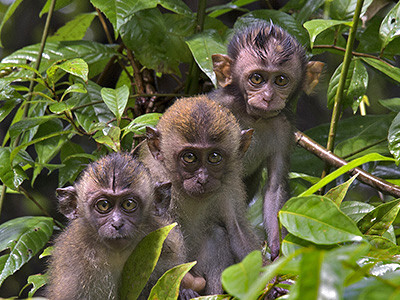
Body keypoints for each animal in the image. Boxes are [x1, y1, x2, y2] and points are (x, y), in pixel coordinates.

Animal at [45, 152, 200, 300]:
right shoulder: (73, 261)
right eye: (103, 205)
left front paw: (185, 293)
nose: (117, 223)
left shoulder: (167, 242)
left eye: (128, 204)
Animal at [139, 95, 260, 294]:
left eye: (214, 157)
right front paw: (184, 289)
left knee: (217, 235)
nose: (202, 179)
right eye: (189, 157)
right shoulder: (153, 179)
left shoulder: (230, 187)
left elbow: (237, 230)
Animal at [209, 21, 318, 260]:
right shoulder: (218, 106)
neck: (251, 116)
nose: (268, 97)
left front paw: (277, 249)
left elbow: (274, 188)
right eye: (257, 79)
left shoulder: (283, 128)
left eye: (281, 80)